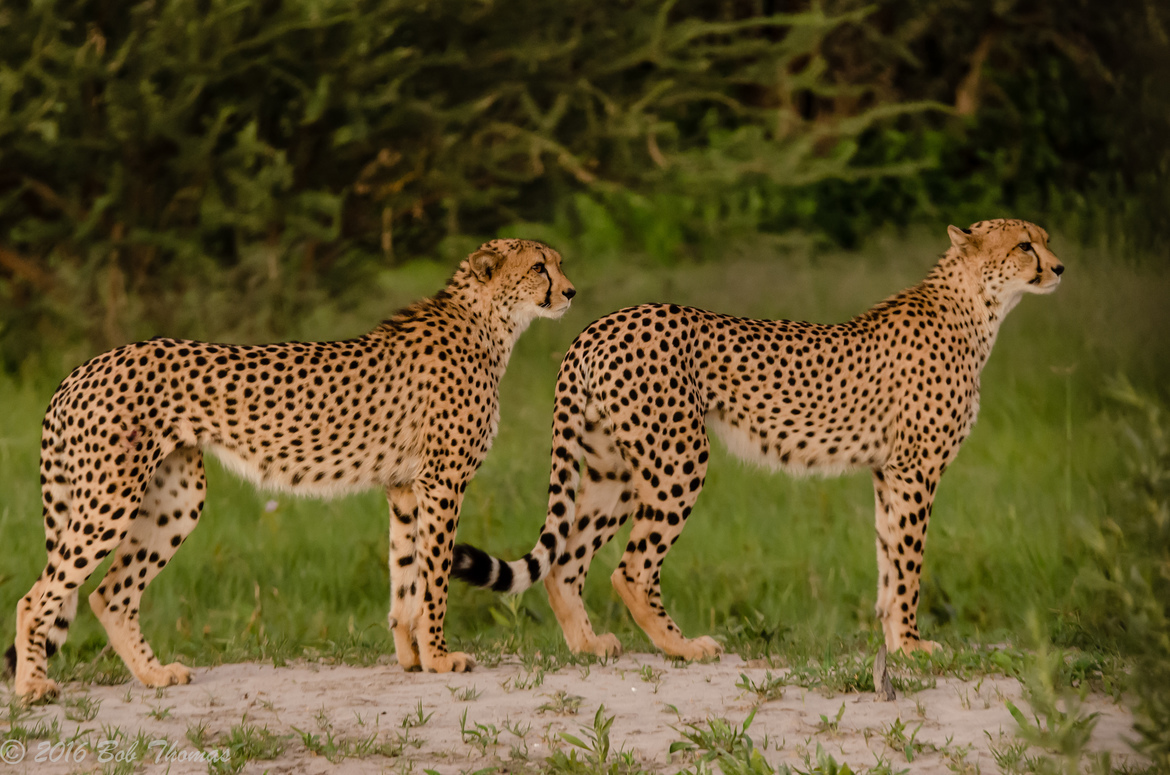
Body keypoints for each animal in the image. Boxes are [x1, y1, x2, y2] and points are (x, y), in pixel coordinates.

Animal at [5, 239, 575, 702]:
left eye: (559, 263)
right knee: (38, 596)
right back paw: (32, 687)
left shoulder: (404, 488)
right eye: (540, 267)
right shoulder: (441, 482)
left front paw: (412, 659)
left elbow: (405, 577)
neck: (489, 323)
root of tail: (81, 369)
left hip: (176, 499)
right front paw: (438, 657)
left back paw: (154, 676)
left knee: (110, 594)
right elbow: (433, 577)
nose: (570, 292)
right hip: (111, 497)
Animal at [452, 219, 1063, 660]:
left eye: (1045, 240)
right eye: (1025, 244)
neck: (978, 307)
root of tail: (597, 324)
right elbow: (909, 564)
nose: (1059, 266)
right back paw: (683, 647)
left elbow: (890, 561)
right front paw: (914, 646)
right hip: (678, 457)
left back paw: (587, 645)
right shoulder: (916, 470)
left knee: (565, 560)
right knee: (631, 568)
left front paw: (897, 643)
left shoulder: (889, 472)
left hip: (616, 471)